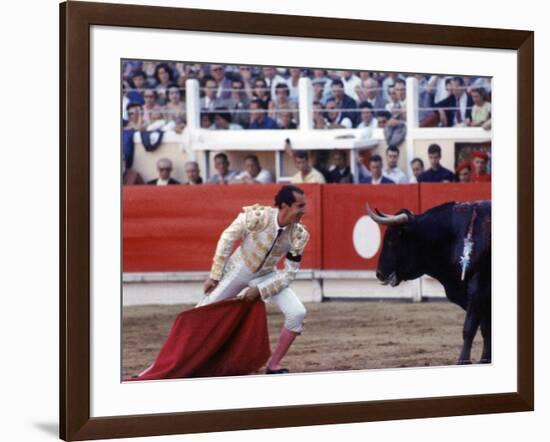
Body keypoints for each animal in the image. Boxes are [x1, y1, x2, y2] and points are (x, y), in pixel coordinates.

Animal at [368, 202, 494, 364]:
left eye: (391, 240)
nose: (379, 274)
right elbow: (486, 328)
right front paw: (485, 359)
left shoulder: (478, 287)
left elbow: (470, 327)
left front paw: (463, 360)